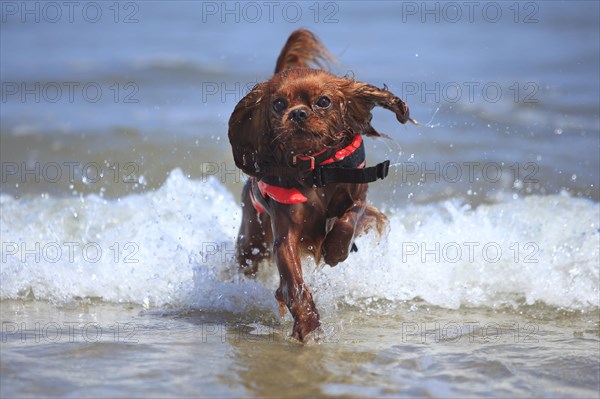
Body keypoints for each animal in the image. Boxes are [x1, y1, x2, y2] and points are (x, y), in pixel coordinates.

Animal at [227, 29, 414, 342]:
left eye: (323, 101)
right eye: (279, 104)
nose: (298, 113)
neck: (316, 169)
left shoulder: (359, 196)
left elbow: (350, 218)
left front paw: (335, 250)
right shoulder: (285, 235)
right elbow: (294, 281)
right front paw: (308, 323)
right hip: (252, 239)